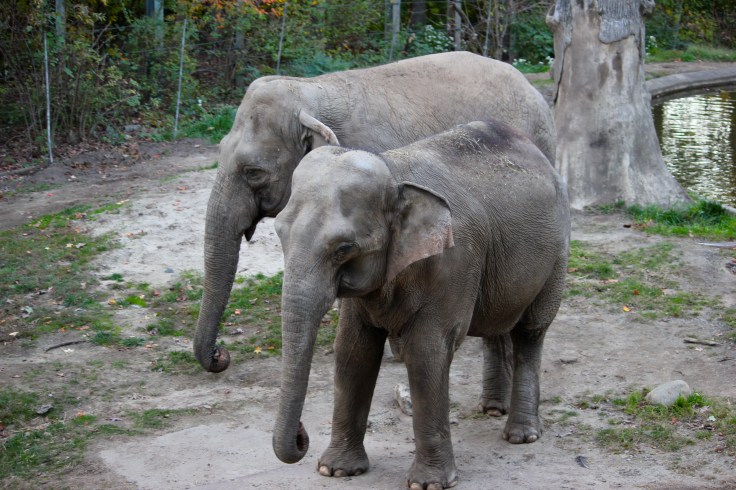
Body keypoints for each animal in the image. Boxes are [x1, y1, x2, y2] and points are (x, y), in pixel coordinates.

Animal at [272, 120, 570, 489]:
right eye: (279, 233)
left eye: (344, 249)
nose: (302, 437)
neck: (393, 172)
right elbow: (353, 352)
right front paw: (337, 470)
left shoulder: (455, 260)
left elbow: (426, 352)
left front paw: (427, 483)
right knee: (496, 324)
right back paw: (491, 408)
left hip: (557, 253)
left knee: (531, 331)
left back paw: (521, 435)